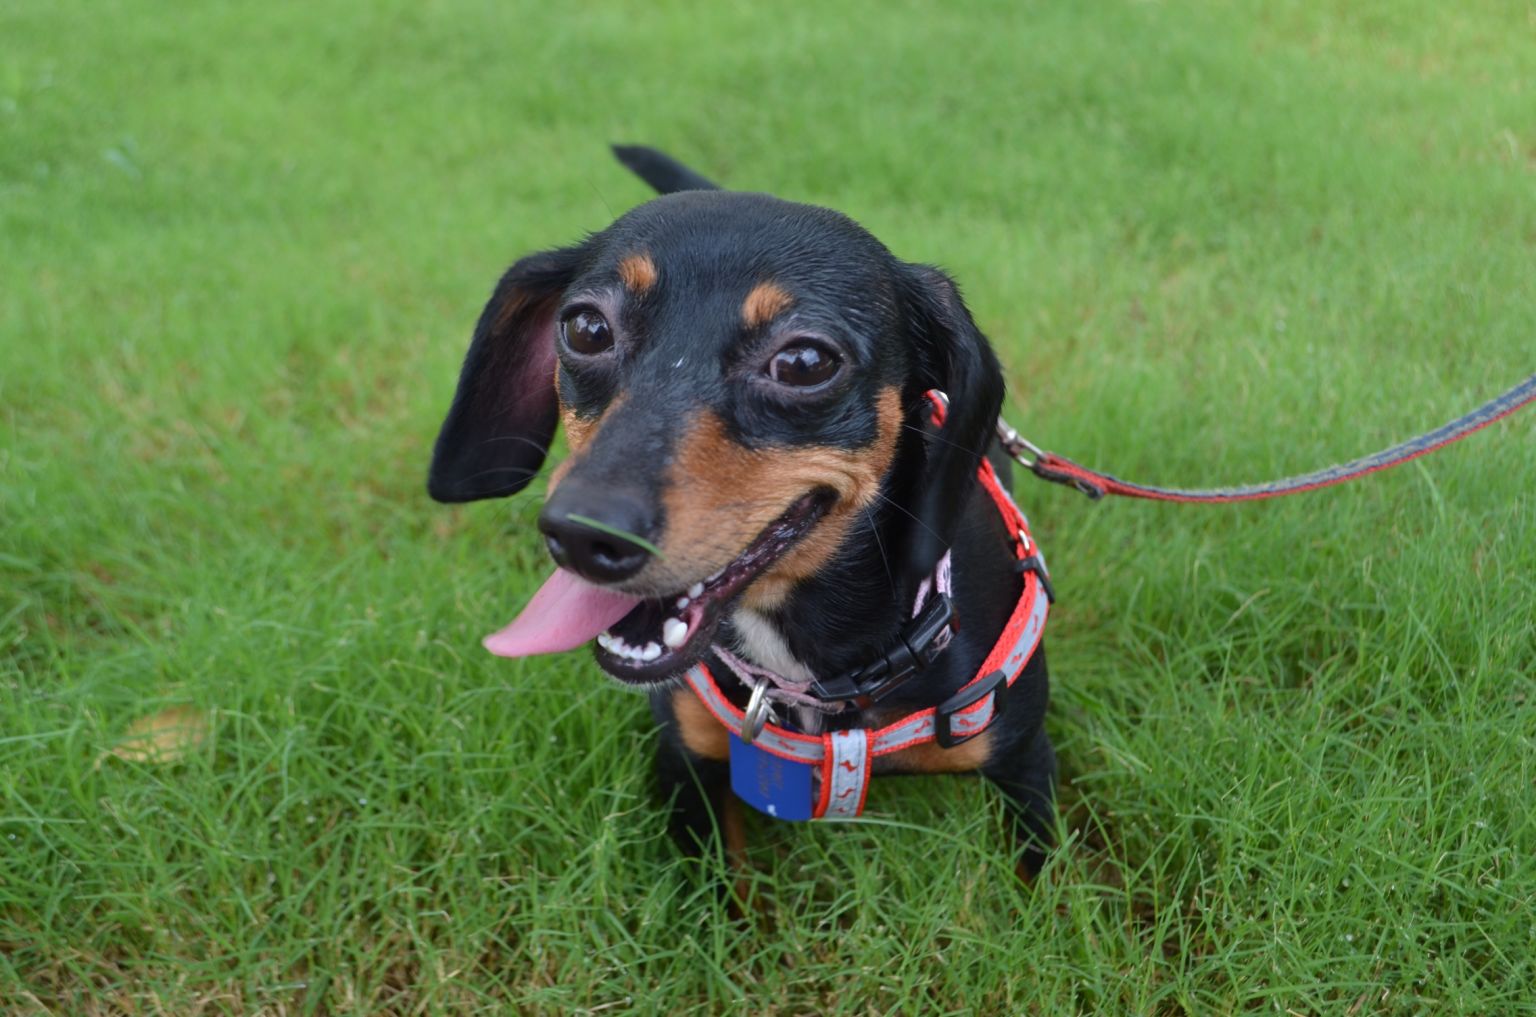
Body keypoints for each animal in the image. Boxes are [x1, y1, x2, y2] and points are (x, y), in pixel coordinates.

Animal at [427, 146, 1056, 877]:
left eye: (805, 361)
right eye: (584, 327)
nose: (580, 535)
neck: (811, 677)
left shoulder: (1023, 764)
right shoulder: (688, 768)